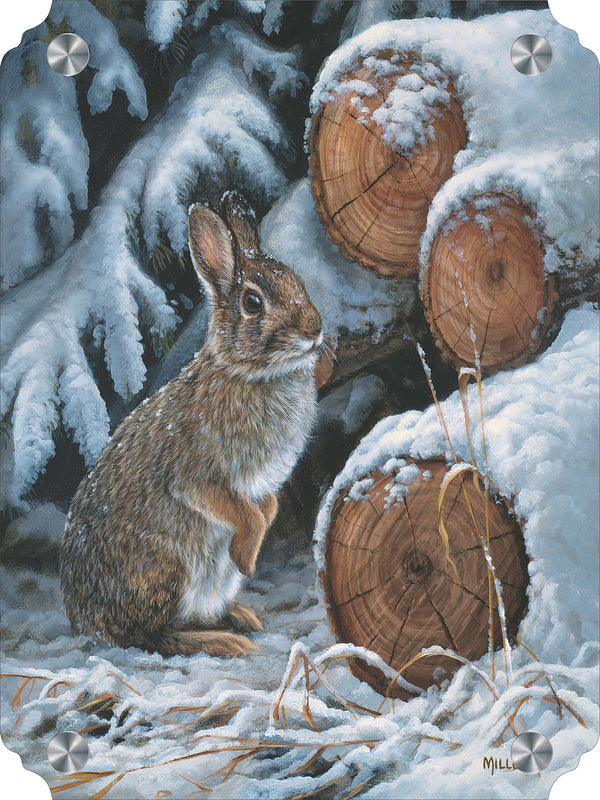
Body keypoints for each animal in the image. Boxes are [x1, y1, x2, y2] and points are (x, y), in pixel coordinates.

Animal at [60, 191, 324, 657]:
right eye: (253, 303)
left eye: (299, 282)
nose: (316, 329)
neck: (248, 373)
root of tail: (86, 621)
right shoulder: (197, 478)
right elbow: (243, 512)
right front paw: (247, 559)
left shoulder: (264, 485)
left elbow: (268, 508)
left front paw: (248, 556)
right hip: (167, 569)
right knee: (150, 636)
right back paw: (227, 640)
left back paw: (240, 617)